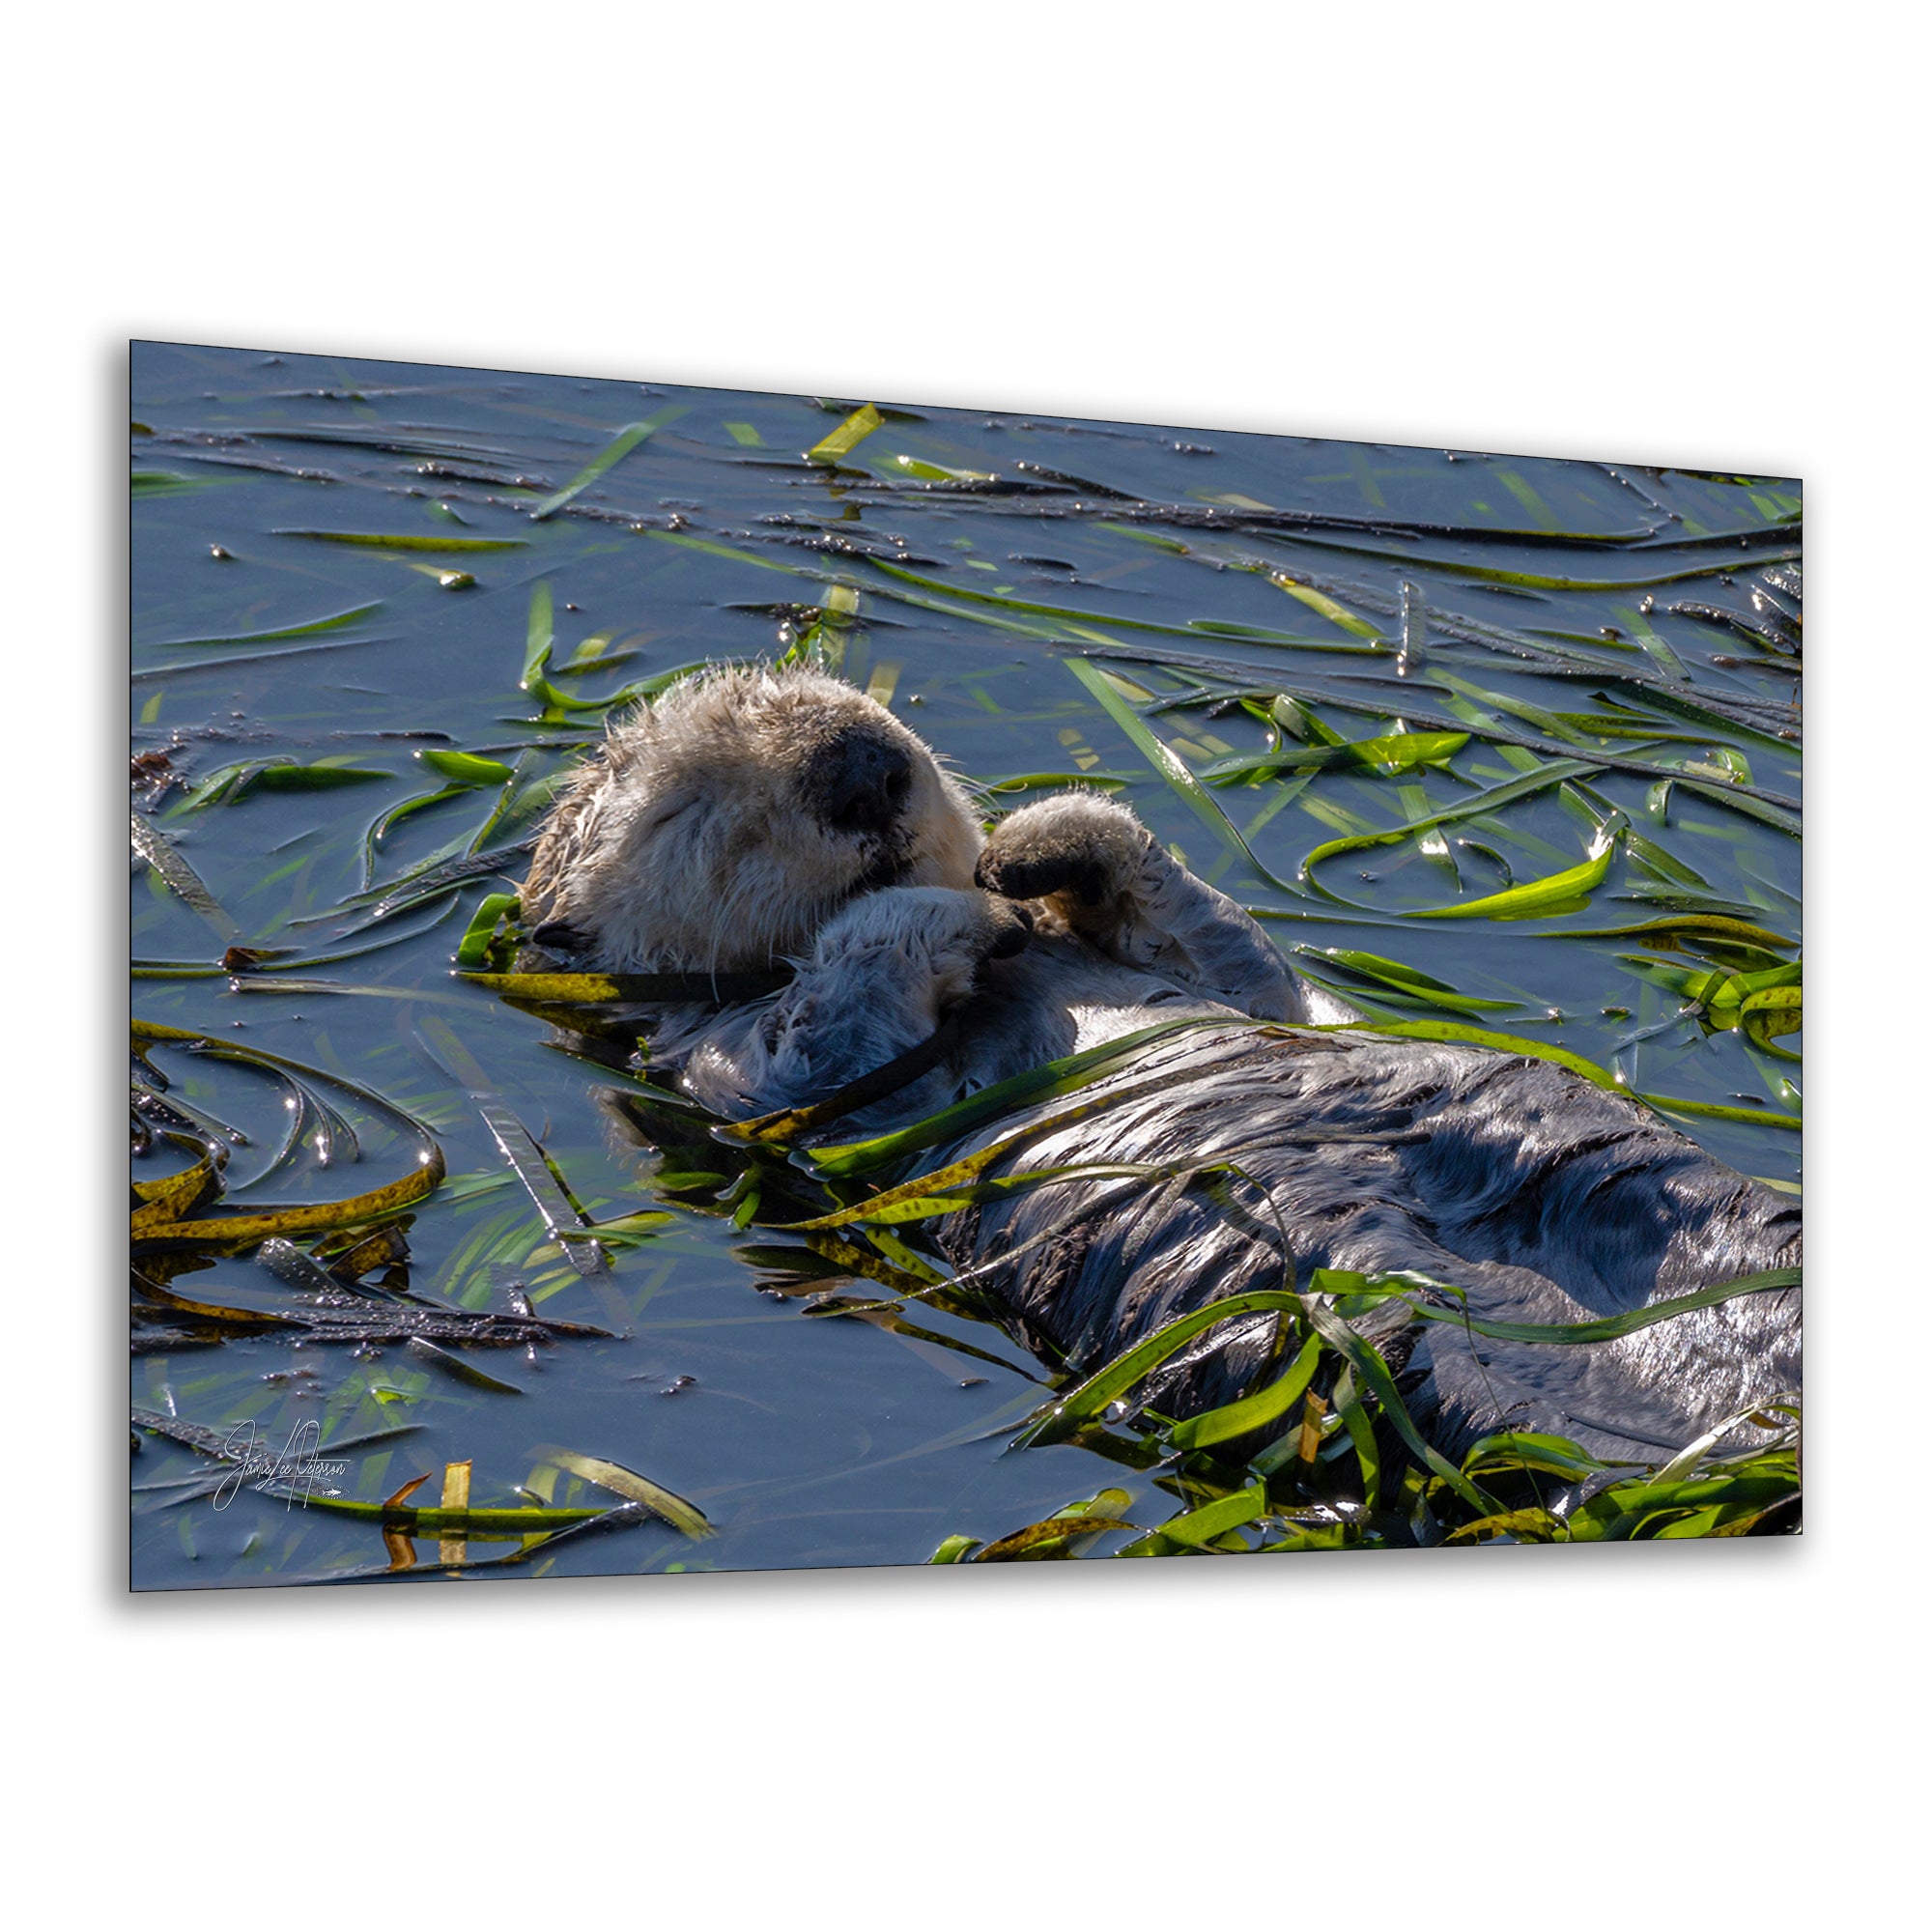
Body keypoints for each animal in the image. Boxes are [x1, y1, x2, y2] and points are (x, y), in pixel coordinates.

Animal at [521, 663, 1800, 1465]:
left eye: (854, 703)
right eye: (688, 805)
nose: (861, 765)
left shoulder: (1241, 981)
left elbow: (1230, 949)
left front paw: (1034, 845)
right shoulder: (740, 1074)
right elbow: (828, 1025)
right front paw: (959, 907)